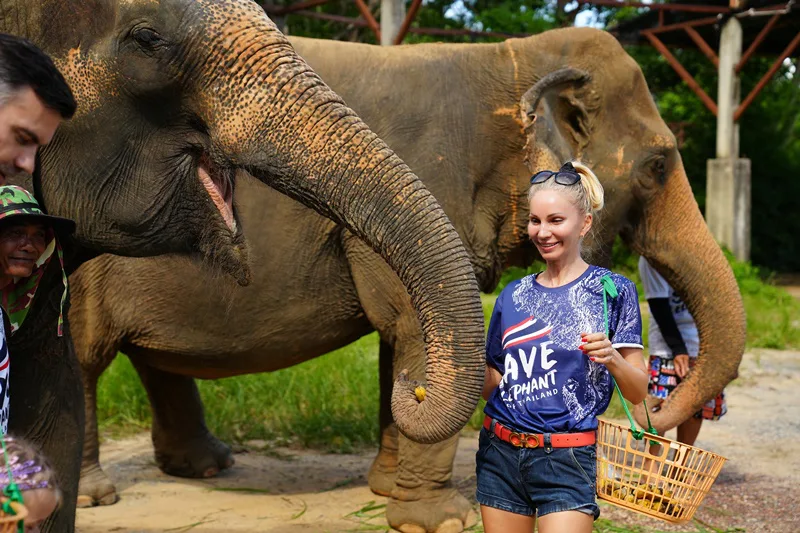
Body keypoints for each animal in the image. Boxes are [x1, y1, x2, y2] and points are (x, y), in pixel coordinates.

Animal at [71, 27, 746, 532]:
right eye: (658, 165)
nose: (654, 431)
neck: (509, 58)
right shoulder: (429, 178)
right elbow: (414, 327)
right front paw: (441, 520)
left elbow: (404, 336)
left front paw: (386, 484)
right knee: (83, 355)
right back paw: (93, 497)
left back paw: (206, 467)